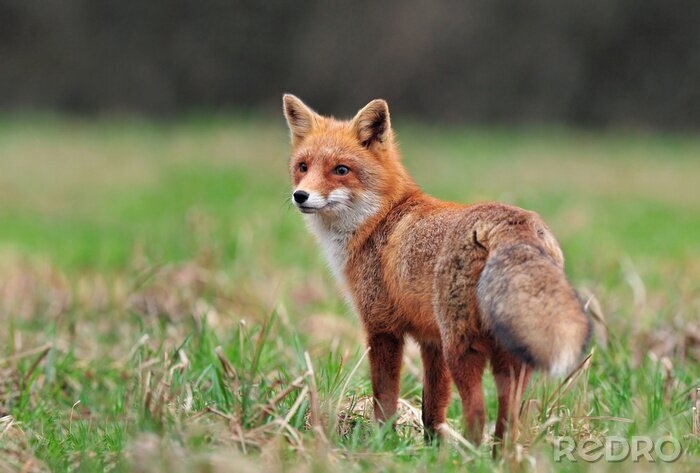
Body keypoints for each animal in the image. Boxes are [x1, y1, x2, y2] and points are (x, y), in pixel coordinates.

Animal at [282, 94, 592, 447]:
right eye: (303, 167)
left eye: (341, 170)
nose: (300, 196)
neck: (379, 220)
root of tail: (513, 223)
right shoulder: (431, 340)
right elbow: (433, 407)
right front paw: (430, 447)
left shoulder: (383, 328)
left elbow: (384, 398)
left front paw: (383, 442)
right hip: (507, 357)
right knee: (508, 420)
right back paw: (497, 454)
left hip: (463, 348)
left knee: (477, 413)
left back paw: (469, 455)